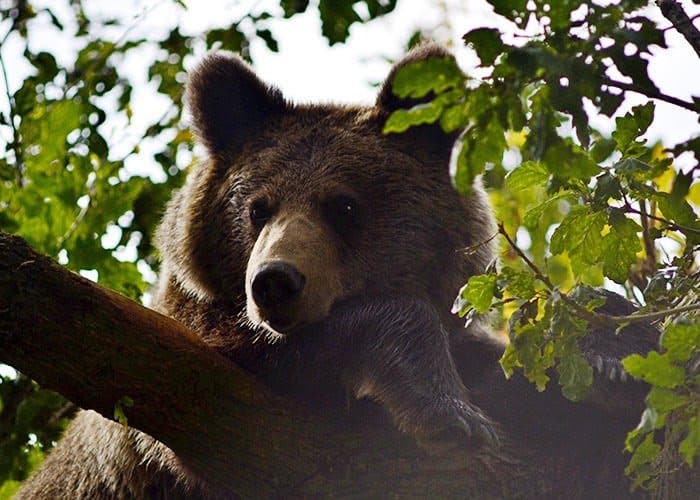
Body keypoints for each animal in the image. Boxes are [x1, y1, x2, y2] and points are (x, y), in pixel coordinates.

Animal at [17, 44, 660, 498]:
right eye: (257, 208)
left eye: (344, 206)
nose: (275, 282)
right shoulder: (197, 372)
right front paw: (452, 415)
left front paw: (610, 357)